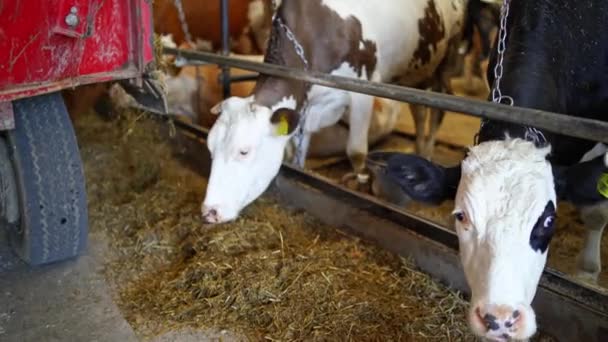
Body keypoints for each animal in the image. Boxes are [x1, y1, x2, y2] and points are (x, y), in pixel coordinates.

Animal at [202, 0, 468, 224]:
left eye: (244, 151)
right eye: (210, 147)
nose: (209, 212)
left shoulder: (363, 89)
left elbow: (356, 151)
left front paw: (361, 183)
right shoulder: (308, 103)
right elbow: (297, 153)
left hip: (446, 59)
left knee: (437, 110)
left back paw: (428, 150)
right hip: (418, 71)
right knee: (419, 109)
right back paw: (420, 149)